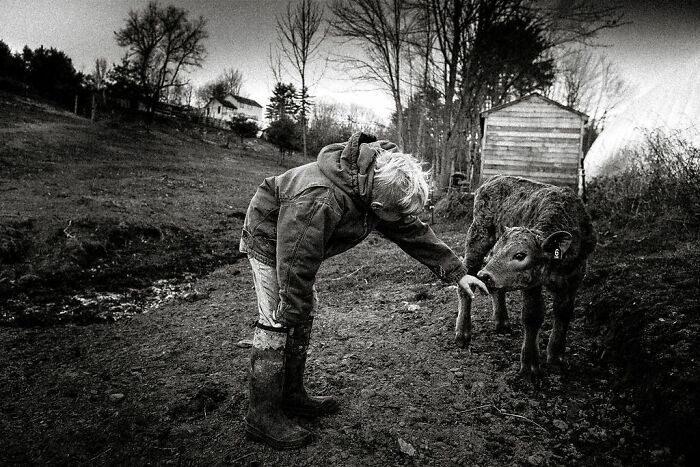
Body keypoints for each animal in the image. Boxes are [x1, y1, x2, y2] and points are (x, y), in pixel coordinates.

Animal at [455, 175, 597, 383]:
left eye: (520, 255)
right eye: (497, 251)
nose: (484, 276)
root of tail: (492, 180)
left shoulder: (574, 278)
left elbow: (563, 313)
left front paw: (556, 358)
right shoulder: (531, 284)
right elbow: (532, 315)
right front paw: (530, 367)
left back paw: (502, 323)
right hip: (477, 237)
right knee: (466, 282)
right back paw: (463, 333)